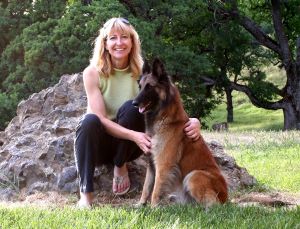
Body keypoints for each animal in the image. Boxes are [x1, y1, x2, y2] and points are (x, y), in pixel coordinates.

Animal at [132, 57, 229, 208]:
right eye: (140, 86)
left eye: (149, 86)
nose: (133, 103)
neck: (164, 118)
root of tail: (226, 197)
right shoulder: (151, 164)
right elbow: (146, 187)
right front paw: (141, 205)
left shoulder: (163, 165)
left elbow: (155, 190)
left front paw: (153, 208)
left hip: (193, 176)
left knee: (213, 204)